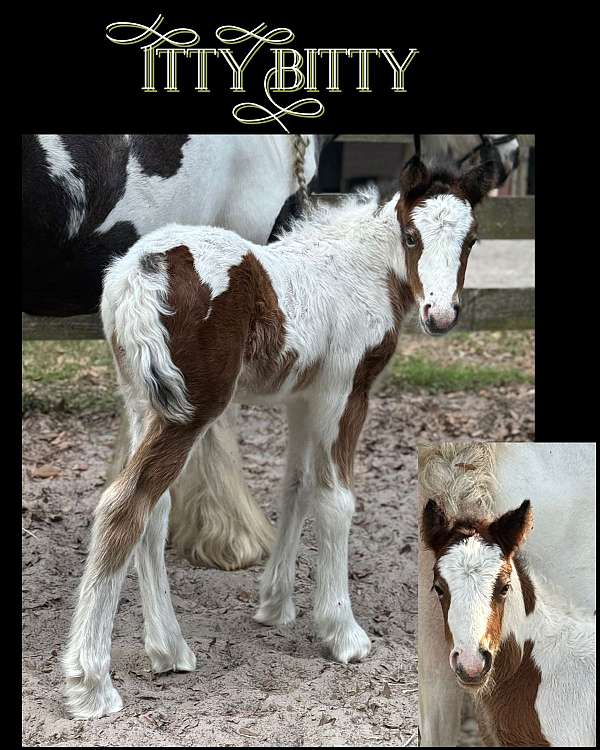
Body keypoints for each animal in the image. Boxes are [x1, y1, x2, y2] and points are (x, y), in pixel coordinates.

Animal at [62, 153, 500, 718]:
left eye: (471, 240)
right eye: (411, 235)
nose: (440, 314)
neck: (361, 272)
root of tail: (139, 271)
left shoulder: (303, 399)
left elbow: (296, 488)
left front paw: (275, 605)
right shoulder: (344, 392)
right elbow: (336, 500)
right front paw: (343, 633)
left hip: (143, 401)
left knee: (153, 512)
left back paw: (169, 650)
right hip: (189, 410)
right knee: (124, 505)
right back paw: (91, 684)